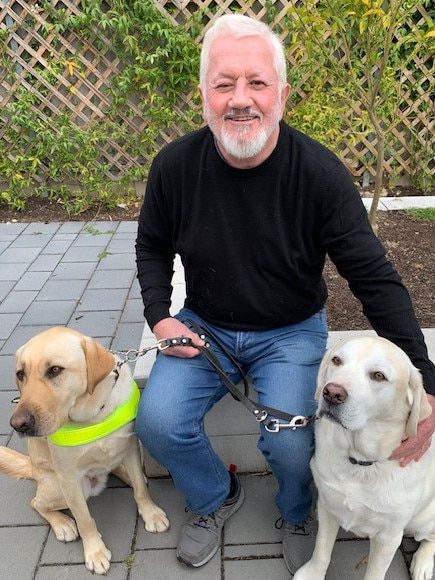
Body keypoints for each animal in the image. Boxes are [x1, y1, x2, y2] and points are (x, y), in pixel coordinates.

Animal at [0, 326, 169, 576]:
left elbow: (140, 490)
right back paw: (62, 524)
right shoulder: (69, 478)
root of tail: (32, 468)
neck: (93, 417)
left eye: (55, 370)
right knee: (37, 503)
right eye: (21, 374)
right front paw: (95, 552)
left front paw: (151, 514)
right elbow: (84, 519)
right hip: (59, 489)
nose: (18, 424)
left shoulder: (130, 447)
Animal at [292, 336, 435, 580]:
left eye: (378, 375)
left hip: (424, 519)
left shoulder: (388, 537)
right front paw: (312, 573)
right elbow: (321, 550)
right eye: (336, 360)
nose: (331, 393)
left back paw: (423, 565)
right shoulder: (327, 506)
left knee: (430, 537)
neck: (360, 460)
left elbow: (375, 573)